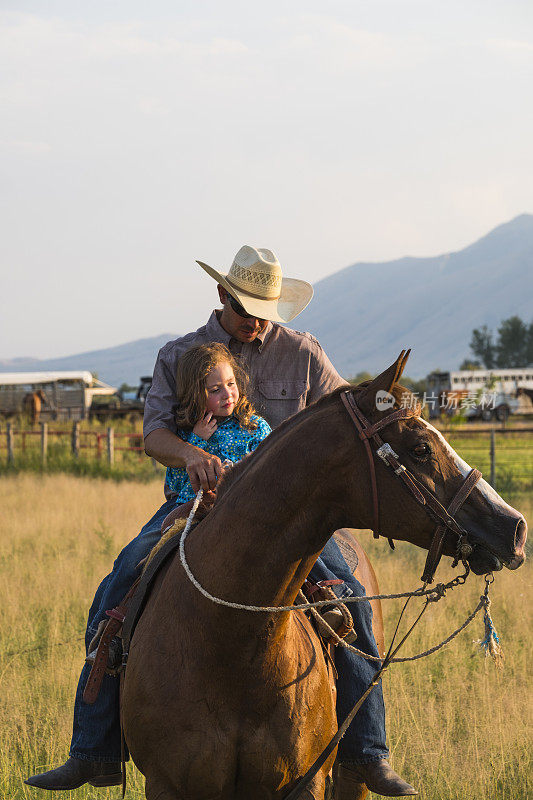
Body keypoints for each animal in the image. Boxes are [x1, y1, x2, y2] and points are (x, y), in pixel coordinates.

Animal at [122, 356, 524, 800]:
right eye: (421, 448)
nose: (515, 527)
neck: (230, 644)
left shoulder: (306, 782)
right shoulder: (166, 784)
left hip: (351, 778)